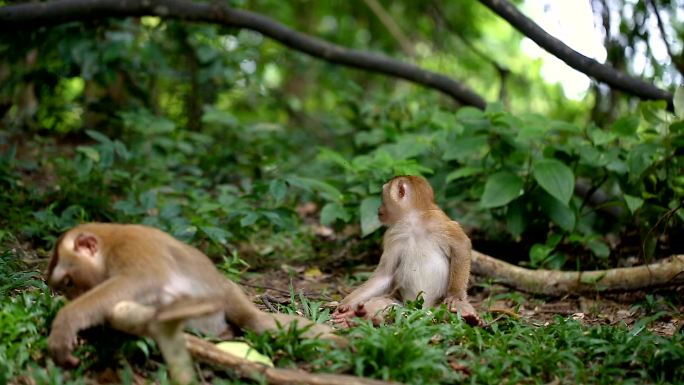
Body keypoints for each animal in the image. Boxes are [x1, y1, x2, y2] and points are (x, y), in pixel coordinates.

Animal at [45, 220, 340, 364]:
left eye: (68, 283)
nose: (72, 297)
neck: (109, 244)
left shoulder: (132, 248)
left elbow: (141, 280)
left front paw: (66, 322)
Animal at [332, 176, 480, 326]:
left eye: (382, 197)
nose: (379, 208)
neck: (413, 222)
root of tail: (422, 312)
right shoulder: (392, 235)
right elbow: (384, 275)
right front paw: (345, 305)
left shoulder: (439, 222)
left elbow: (461, 245)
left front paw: (455, 295)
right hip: (402, 304)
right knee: (385, 303)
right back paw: (360, 316)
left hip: (437, 307)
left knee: (451, 309)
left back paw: (468, 316)